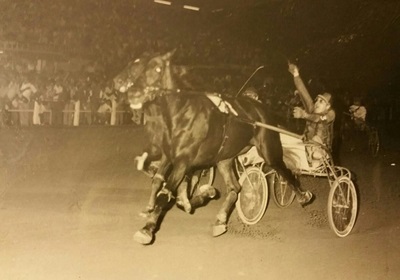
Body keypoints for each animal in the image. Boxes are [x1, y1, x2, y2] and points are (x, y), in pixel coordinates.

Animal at [114, 50, 310, 245]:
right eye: (137, 67)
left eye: (157, 68)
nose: (132, 92)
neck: (180, 112)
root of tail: (261, 108)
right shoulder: (168, 156)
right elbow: (158, 181)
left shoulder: (183, 161)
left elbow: (166, 192)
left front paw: (147, 229)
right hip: (224, 158)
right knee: (234, 188)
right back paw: (220, 220)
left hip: (268, 149)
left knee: (283, 169)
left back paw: (303, 195)